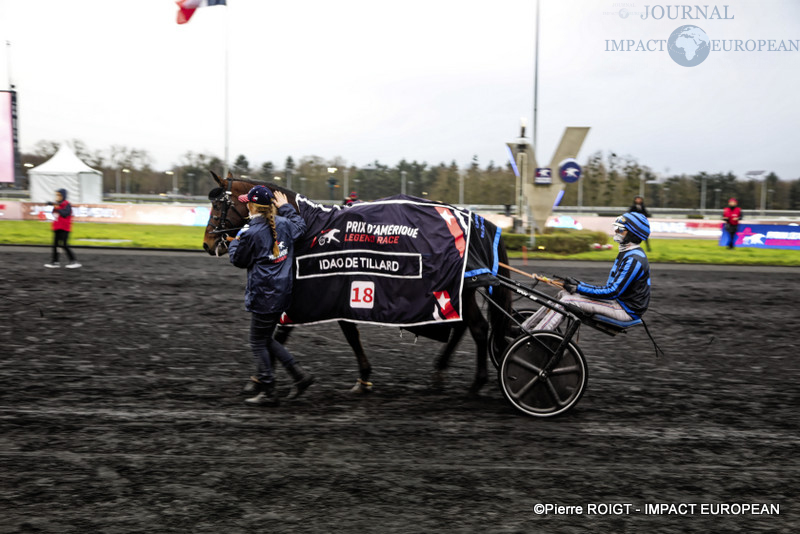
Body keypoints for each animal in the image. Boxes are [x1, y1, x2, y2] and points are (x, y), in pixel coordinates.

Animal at [202, 173, 512, 398]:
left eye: (218, 205)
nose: (207, 243)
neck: (307, 227)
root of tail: (477, 221)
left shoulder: (316, 289)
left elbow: (284, 334)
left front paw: (262, 380)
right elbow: (295, 334)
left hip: (461, 288)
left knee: (478, 328)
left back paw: (476, 383)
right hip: (459, 289)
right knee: (463, 326)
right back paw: (441, 372)